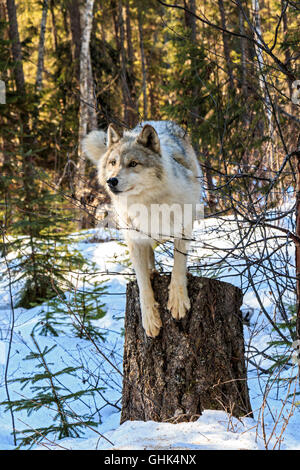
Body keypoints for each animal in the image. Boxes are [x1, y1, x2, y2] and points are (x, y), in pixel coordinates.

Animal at [83, 119, 203, 336]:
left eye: (133, 164)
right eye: (113, 163)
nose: (111, 181)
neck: (147, 202)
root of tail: (159, 122)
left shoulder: (183, 229)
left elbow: (178, 266)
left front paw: (178, 301)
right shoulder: (134, 240)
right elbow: (142, 284)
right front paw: (150, 320)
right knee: (150, 257)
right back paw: (153, 272)